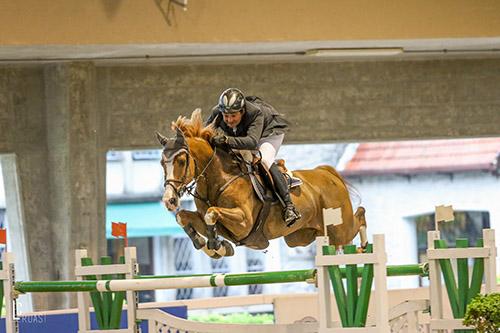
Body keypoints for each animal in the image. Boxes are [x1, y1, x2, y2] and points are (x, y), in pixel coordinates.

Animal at [157, 110, 368, 258]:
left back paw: (364, 247)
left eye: (181, 161)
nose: (169, 200)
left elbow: (212, 213)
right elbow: (183, 217)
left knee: (359, 217)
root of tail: (326, 173)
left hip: (340, 228)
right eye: (161, 162)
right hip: (300, 238)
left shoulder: (243, 222)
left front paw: (217, 246)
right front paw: (213, 248)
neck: (218, 181)